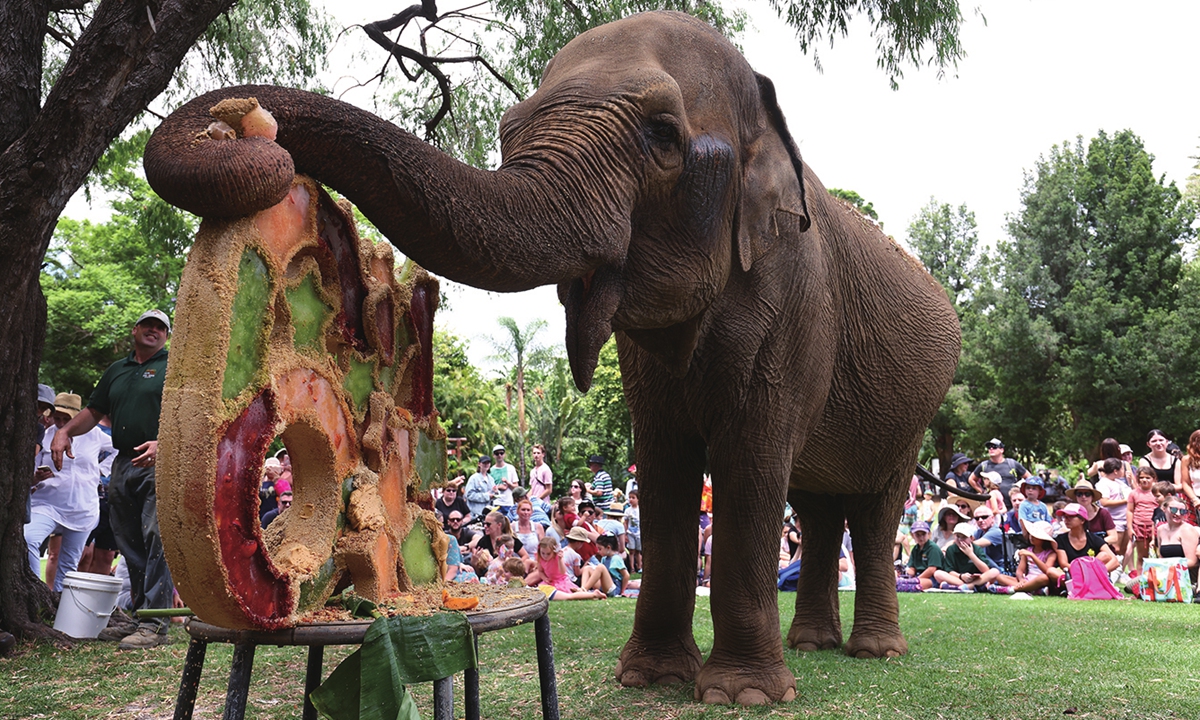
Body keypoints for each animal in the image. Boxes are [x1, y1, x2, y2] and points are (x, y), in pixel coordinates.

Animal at [145, 10, 960, 705]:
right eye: (507, 129)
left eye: (664, 135)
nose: (243, 125)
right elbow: (664, 466)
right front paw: (649, 680)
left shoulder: (792, 306)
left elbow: (751, 463)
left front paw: (743, 697)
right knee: (819, 509)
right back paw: (816, 644)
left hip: (917, 410)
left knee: (873, 509)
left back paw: (874, 653)